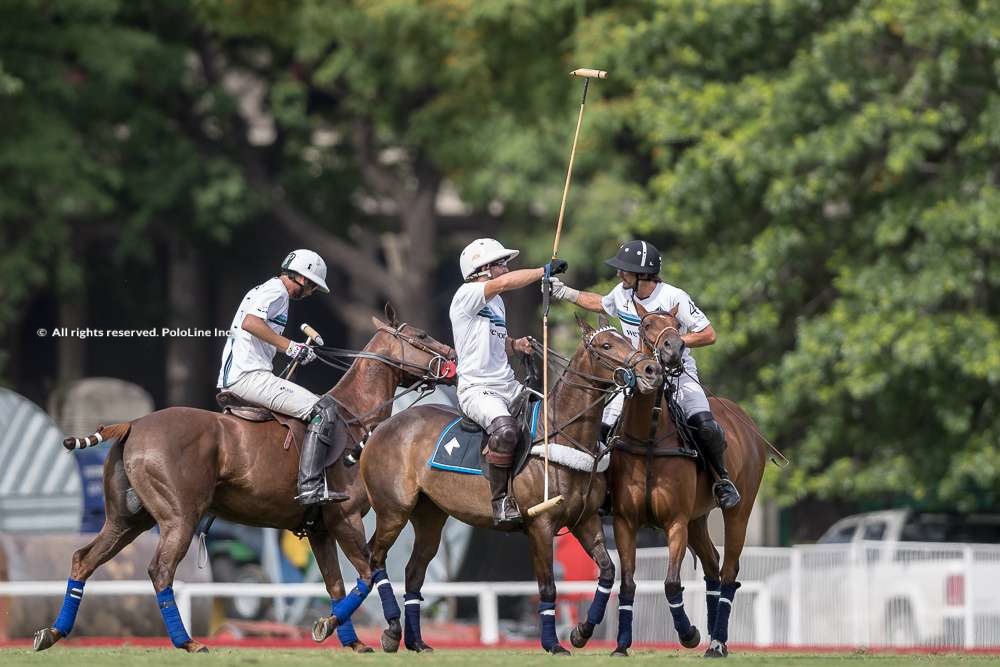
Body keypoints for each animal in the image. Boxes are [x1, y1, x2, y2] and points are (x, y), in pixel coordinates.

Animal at [33, 310, 458, 656]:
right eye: (420, 335)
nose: (452, 360)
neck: (353, 418)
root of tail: (132, 424)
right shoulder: (346, 517)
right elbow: (370, 573)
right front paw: (384, 631)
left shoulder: (320, 529)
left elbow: (337, 584)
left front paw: (351, 639)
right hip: (179, 517)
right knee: (160, 570)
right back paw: (187, 642)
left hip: (127, 519)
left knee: (83, 559)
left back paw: (52, 633)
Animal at [356, 316, 668, 656]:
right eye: (606, 345)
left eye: (625, 339)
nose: (651, 369)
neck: (563, 435)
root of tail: (379, 428)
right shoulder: (540, 525)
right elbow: (548, 586)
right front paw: (553, 644)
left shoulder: (585, 519)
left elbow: (608, 570)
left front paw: (581, 632)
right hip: (393, 510)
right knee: (373, 558)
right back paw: (388, 631)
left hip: (430, 515)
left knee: (413, 571)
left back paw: (416, 641)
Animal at [568, 306, 768, 660]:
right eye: (646, 324)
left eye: (677, 324)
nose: (672, 351)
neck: (648, 436)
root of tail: (746, 420)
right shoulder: (625, 521)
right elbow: (629, 582)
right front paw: (621, 645)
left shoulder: (675, 521)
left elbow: (672, 582)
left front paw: (688, 634)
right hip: (698, 518)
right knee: (712, 565)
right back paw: (713, 638)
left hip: (739, 511)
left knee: (729, 571)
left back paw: (717, 643)